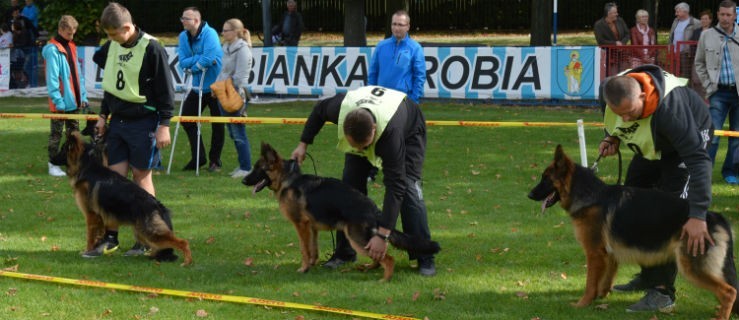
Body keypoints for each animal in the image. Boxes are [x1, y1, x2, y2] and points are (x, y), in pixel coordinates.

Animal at [66, 131, 194, 266]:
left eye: (63, 149)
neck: (89, 167)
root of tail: (157, 205)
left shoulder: (91, 216)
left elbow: (90, 237)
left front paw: (88, 251)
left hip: (150, 232)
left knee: (183, 242)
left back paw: (187, 262)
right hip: (142, 231)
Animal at [243, 142, 442, 280]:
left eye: (258, 169)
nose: (243, 181)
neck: (288, 179)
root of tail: (373, 209)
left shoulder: (301, 225)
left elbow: (304, 249)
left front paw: (304, 268)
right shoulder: (312, 228)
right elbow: (313, 249)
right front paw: (313, 265)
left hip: (356, 238)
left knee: (389, 258)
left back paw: (384, 279)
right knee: (379, 256)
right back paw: (370, 268)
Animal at [528, 146, 736, 318]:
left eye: (545, 178)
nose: (529, 195)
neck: (589, 195)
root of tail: (713, 216)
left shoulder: (594, 254)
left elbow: (590, 283)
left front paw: (583, 303)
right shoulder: (609, 254)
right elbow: (606, 278)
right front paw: (602, 296)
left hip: (691, 267)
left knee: (729, 292)